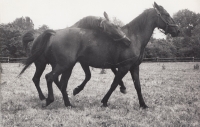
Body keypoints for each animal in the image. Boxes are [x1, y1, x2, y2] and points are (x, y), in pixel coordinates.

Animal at [19, 1, 180, 108]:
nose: (177, 30)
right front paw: (104, 101)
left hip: (67, 66)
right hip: (61, 65)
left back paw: (68, 103)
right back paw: (48, 99)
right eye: (166, 14)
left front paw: (143, 105)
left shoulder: (134, 67)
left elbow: (137, 86)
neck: (134, 37)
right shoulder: (124, 67)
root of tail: (53, 34)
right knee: (49, 78)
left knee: (60, 82)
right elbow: (114, 84)